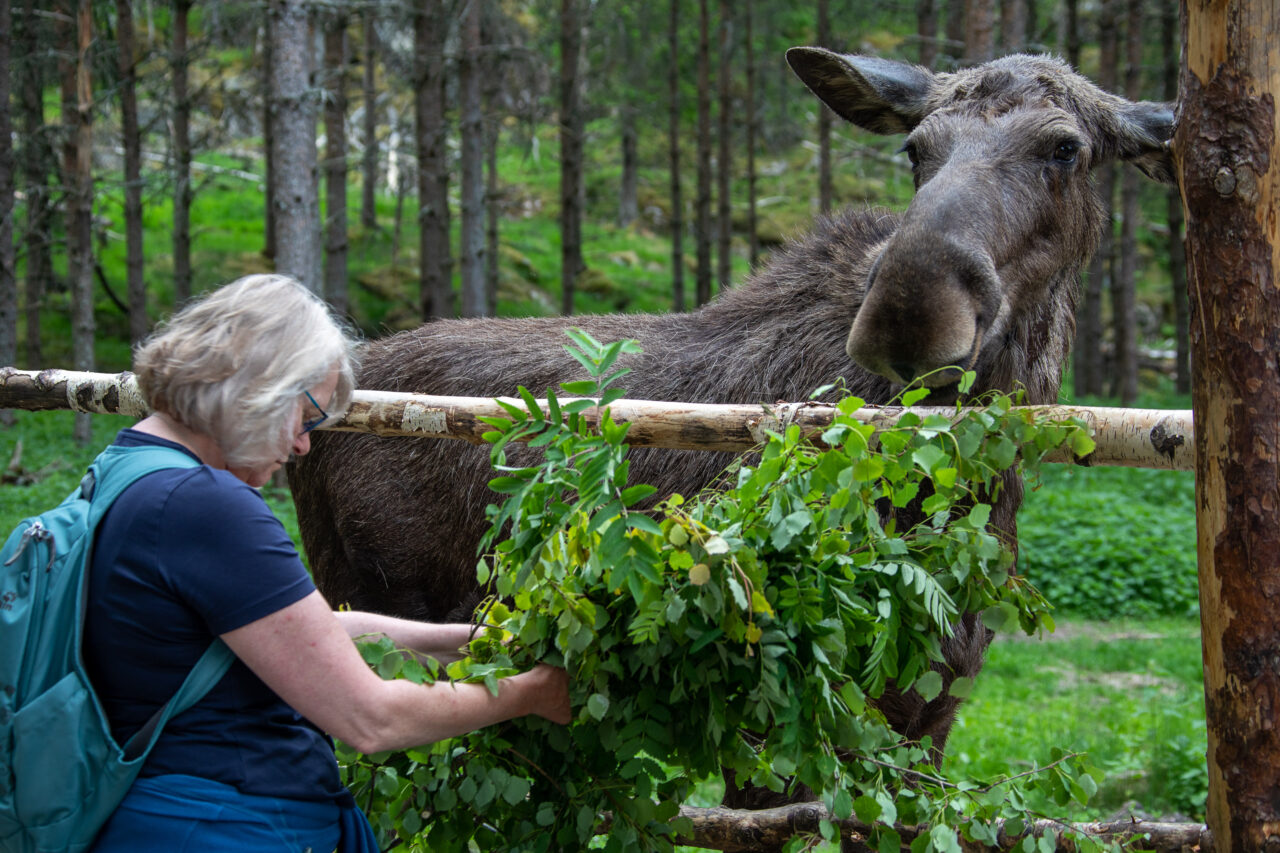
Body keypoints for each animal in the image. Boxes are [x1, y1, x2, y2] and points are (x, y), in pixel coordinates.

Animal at [288, 46, 1172, 804]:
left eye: (1065, 148)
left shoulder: (926, 718)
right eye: (915, 148)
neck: (960, 496)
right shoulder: (778, 730)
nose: (910, 305)